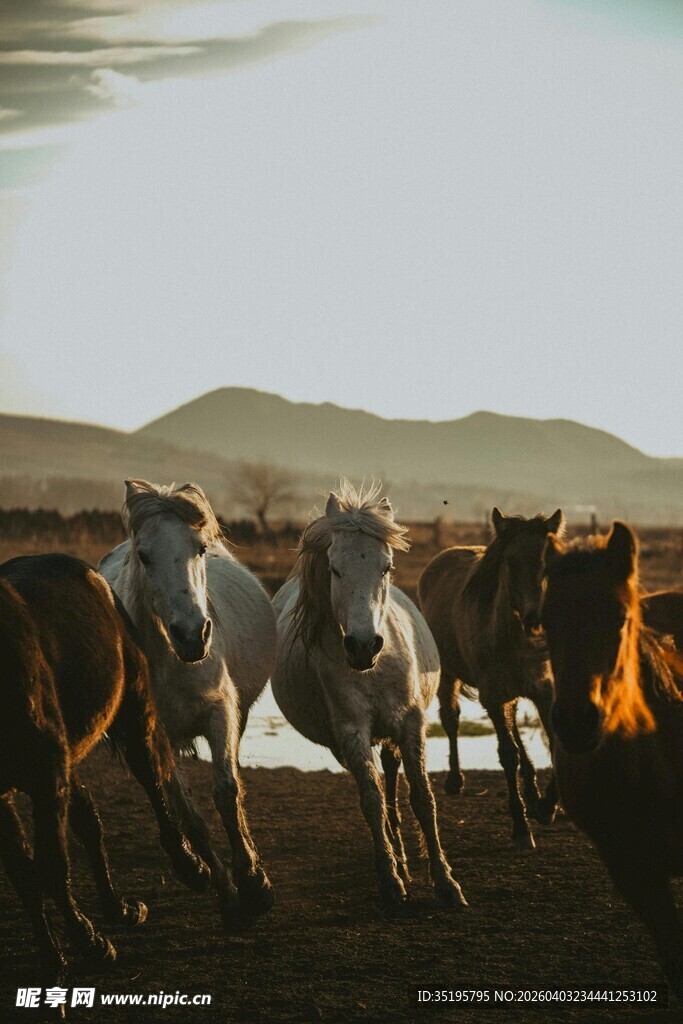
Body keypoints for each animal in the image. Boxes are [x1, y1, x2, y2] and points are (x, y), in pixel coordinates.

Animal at [0, 554, 209, 1002]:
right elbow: (26, 876)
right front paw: (54, 959)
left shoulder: (46, 775)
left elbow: (51, 867)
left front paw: (89, 943)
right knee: (89, 822)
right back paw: (120, 909)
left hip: (132, 710)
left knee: (152, 782)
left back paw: (191, 868)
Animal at [99, 480, 277, 930]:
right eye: (144, 555)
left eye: (199, 548)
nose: (193, 635)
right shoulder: (151, 736)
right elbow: (189, 815)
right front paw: (227, 893)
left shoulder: (221, 713)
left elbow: (227, 791)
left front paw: (255, 884)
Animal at [271, 481, 466, 911]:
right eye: (334, 568)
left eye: (386, 567)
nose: (363, 646)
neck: (374, 668)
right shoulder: (352, 732)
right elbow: (372, 801)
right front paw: (391, 881)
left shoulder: (411, 723)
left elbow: (422, 799)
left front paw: (446, 881)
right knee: (378, 784)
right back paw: (398, 860)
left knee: (391, 775)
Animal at [418, 507, 564, 850]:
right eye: (509, 561)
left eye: (549, 558)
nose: (534, 618)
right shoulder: (493, 696)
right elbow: (507, 755)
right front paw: (522, 828)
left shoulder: (543, 691)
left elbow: (552, 743)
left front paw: (547, 806)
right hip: (449, 674)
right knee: (451, 718)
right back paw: (455, 780)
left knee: (514, 727)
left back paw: (533, 791)